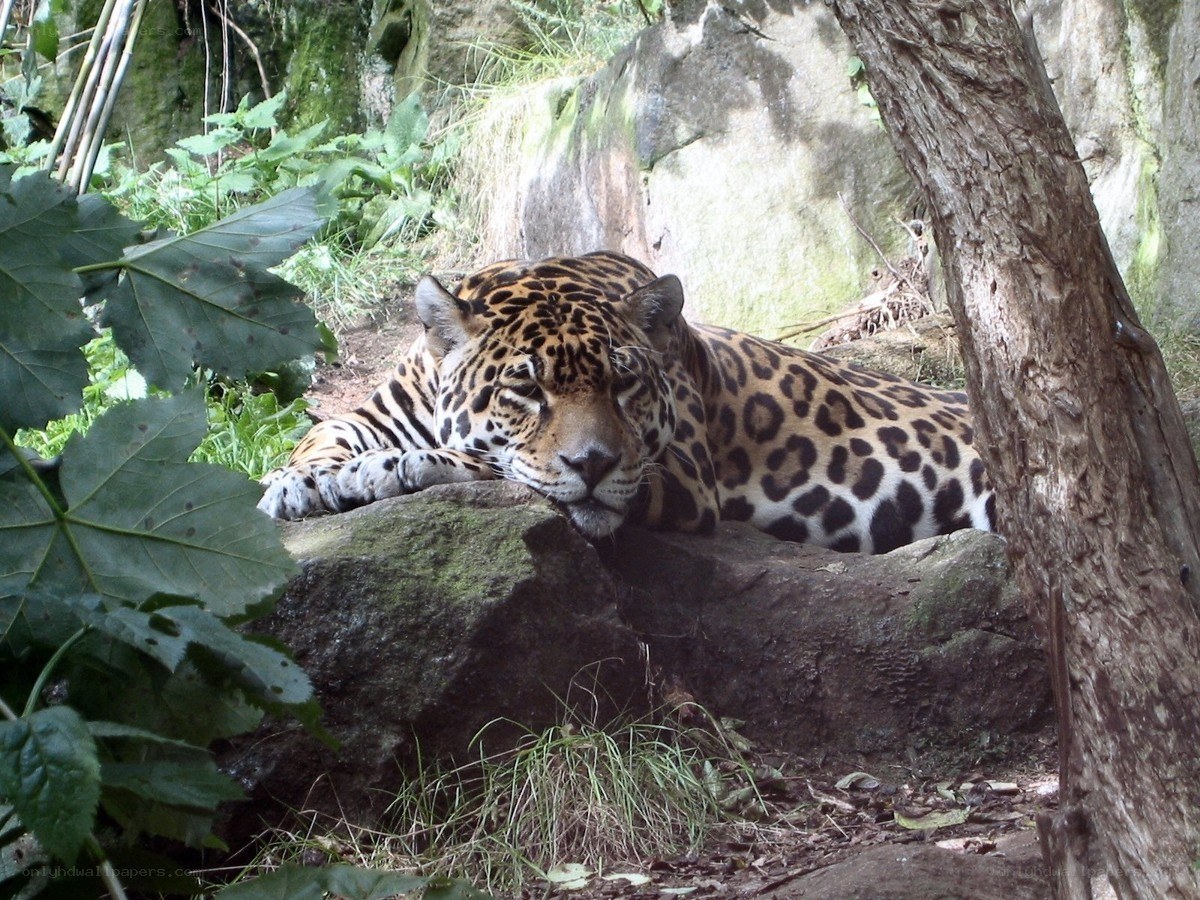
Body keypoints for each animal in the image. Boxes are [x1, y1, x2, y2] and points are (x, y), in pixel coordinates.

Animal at [258, 251, 995, 553]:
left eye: (624, 386)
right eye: (527, 390)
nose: (593, 463)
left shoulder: (683, 474)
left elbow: (504, 467)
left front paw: (387, 471)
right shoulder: (373, 411)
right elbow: (320, 436)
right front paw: (293, 485)